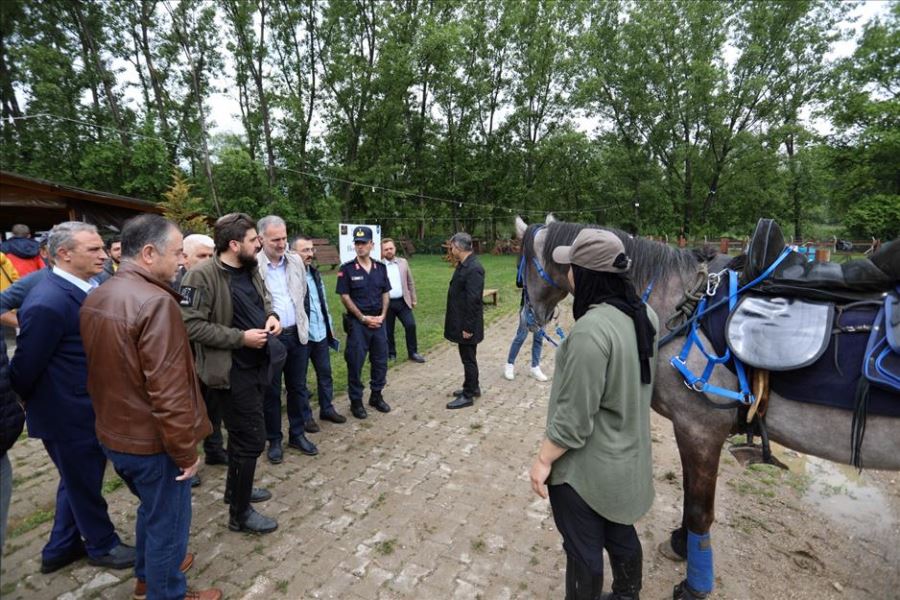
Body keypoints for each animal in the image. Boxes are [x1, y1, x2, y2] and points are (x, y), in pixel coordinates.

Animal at [512, 217, 900, 600]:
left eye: (522, 265)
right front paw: (680, 544)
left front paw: (693, 586)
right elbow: (689, 493)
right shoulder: (691, 430)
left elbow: (700, 509)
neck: (678, 299)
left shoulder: (701, 428)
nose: (530, 317)